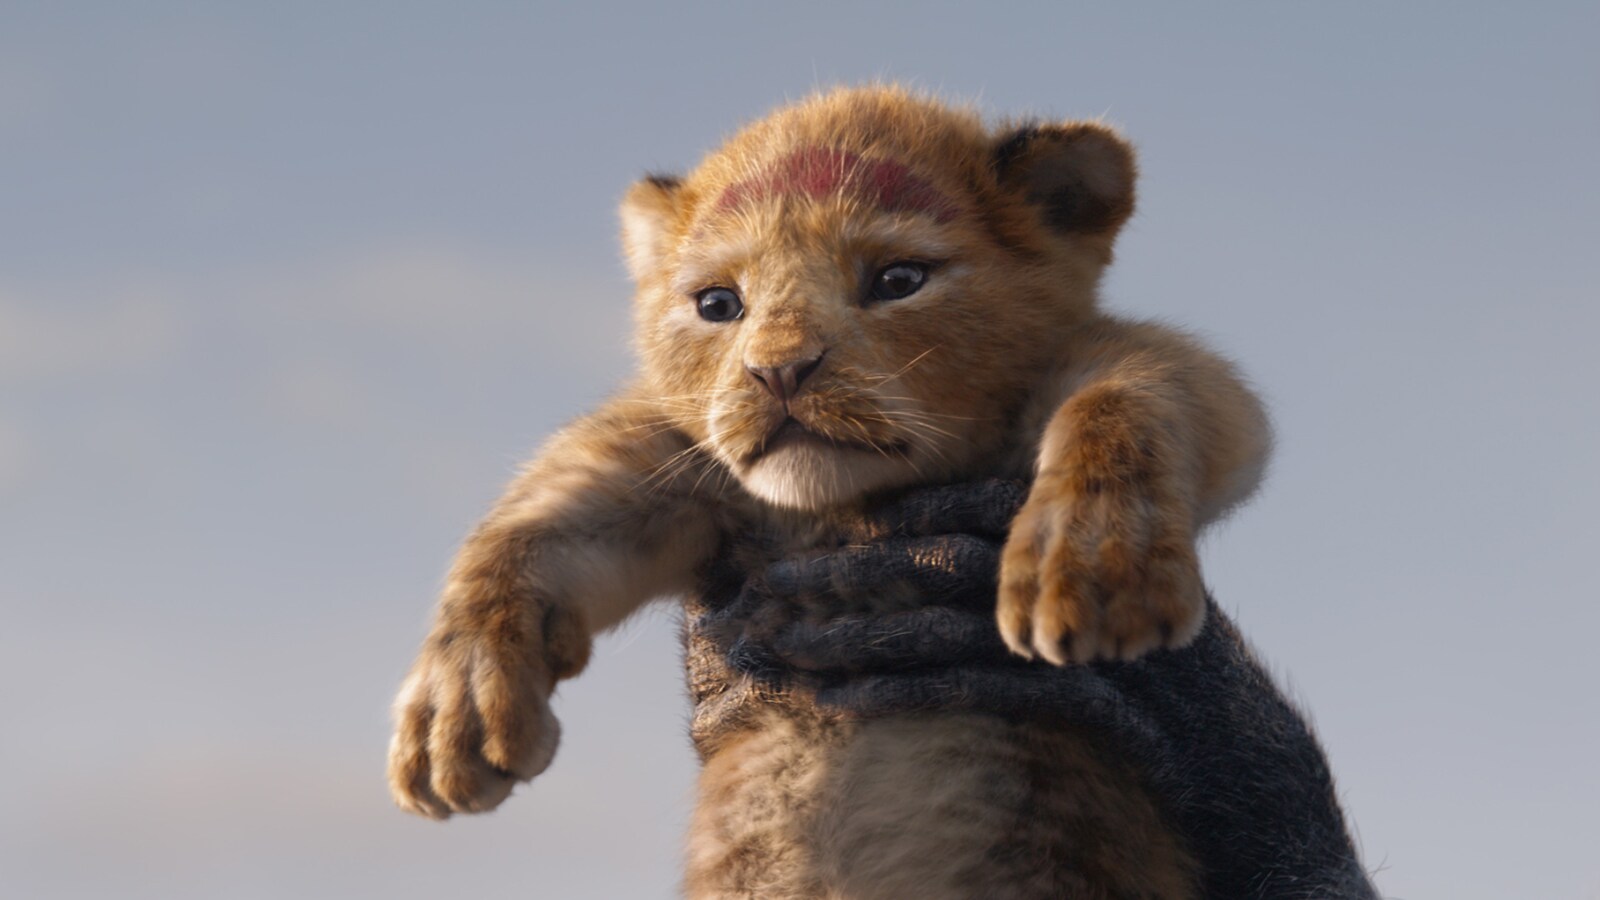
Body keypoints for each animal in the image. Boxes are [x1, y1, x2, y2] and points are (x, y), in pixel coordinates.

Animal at [387, 86, 1274, 898]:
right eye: (718, 303)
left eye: (899, 278)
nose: (779, 371)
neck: (837, 515)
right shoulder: (684, 467)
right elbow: (538, 518)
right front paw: (453, 715)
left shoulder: (1138, 375)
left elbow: (1130, 395)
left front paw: (1092, 568)